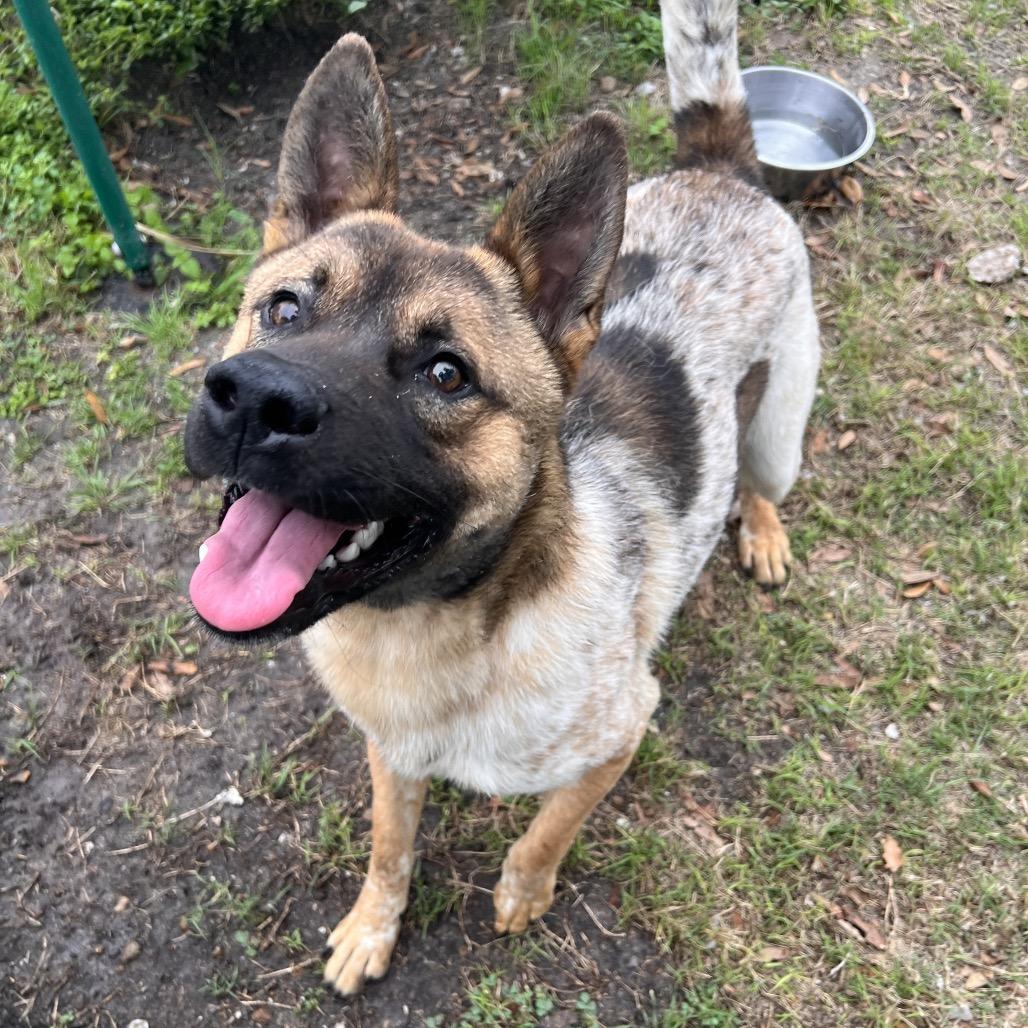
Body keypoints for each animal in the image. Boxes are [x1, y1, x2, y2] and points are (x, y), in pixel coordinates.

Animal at [183, 0, 819, 995]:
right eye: (283, 309)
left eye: (447, 374)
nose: (253, 401)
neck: (428, 631)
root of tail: (720, 170)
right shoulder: (391, 753)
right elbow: (389, 847)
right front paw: (373, 926)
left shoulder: (623, 730)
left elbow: (546, 829)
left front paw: (525, 890)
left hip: (779, 430)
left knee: (759, 481)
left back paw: (758, 531)